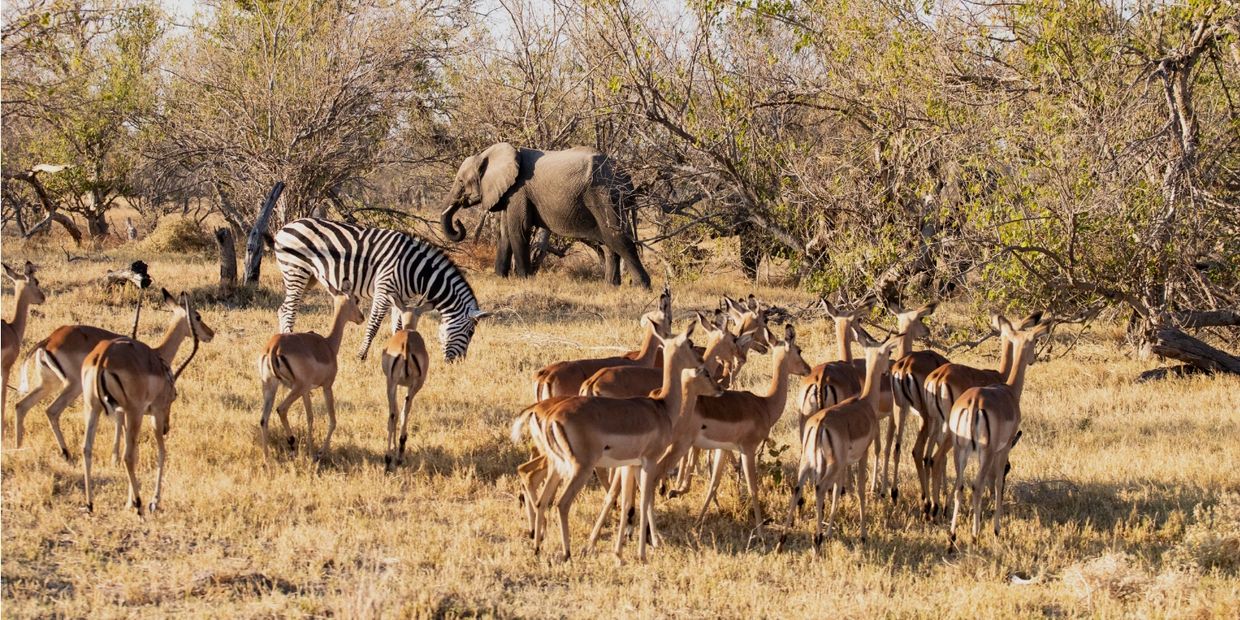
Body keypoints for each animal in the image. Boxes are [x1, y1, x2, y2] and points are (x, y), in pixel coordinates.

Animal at [274, 218, 488, 362]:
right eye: (470, 333)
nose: (457, 363)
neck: (416, 270)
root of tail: (286, 227)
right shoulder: (384, 289)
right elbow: (374, 325)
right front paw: (361, 356)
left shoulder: (400, 297)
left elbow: (398, 327)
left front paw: (397, 352)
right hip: (296, 271)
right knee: (289, 309)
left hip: (308, 277)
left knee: (283, 309)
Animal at [440, 143, 652, 288]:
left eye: (461, 182)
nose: (458, 222)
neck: (489, 154)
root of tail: (627, 177)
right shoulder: (509, 192)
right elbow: (505, 234)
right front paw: (500, 277)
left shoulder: (519, 191)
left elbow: (519, 230)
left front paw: (524, 279)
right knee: (608, 241)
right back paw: (610, 286)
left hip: (604, 194)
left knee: (616, 236)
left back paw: (641, 287)